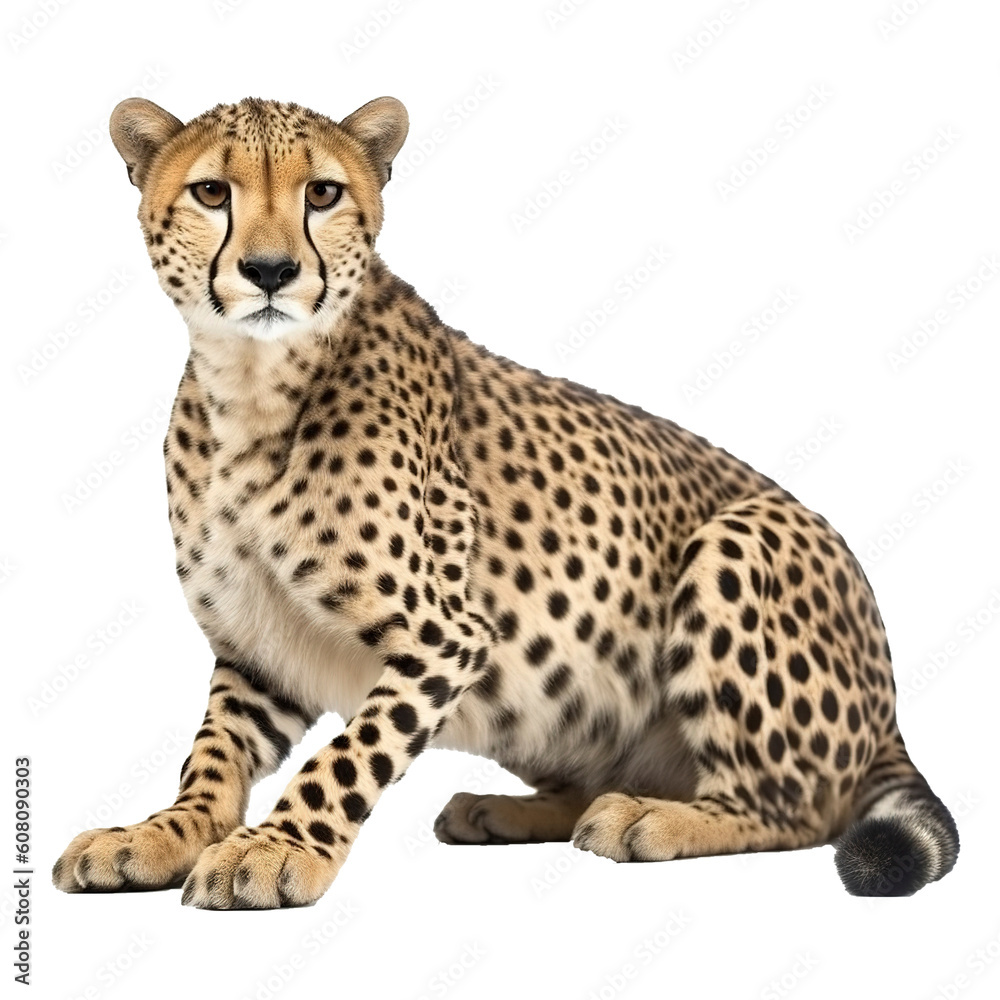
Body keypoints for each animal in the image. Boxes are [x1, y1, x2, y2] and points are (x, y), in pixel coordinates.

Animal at [52, 94, 958, 908]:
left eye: (323, 193)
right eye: (212, 192)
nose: (270, 272)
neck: (251, 385)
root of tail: (890, 711)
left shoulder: (447, 637)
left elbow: (348, 753)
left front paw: (277, 850)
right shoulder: (259, 649)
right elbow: (211, 754)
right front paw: (160, 833)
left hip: (740, 536)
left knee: (796, 808)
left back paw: (650, 820)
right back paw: (507, 810)